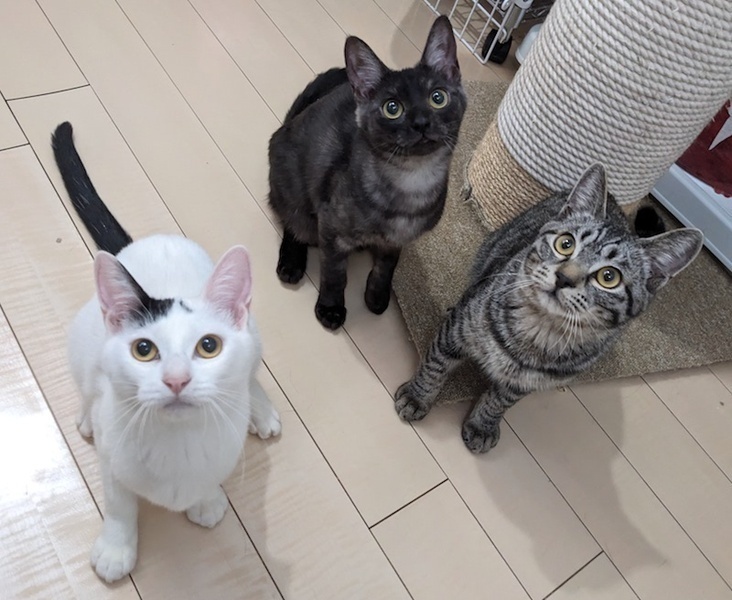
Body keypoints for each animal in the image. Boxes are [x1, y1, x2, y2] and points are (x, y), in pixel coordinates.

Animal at [52, 122, 281, 582]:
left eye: (209, 346)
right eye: (144, 349)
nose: (177, 380)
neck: (179, 443)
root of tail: (147, 242)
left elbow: (211, 476)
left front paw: (206, 500)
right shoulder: (112, 458)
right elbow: (118, 503)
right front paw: (116, 548)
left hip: (254, 331)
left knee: (250, 374)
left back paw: (261, 410)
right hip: (81, 337)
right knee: (87, 386)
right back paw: (85, 416)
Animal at [268, 15, 467, 330]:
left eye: (438, 98)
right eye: (392, 108)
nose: (421, 122)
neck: (413, 181)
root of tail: (290, 121)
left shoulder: (397, 242)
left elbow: (387, 267)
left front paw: (376, 297)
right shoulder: (331, 227)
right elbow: (335, 273)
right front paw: (331, 309)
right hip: (297, 194)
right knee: (293, 222)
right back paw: (292, 262)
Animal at [395, 164, 704, 453]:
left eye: (609, 277)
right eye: (565, 243)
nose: (565, 277)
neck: (539, 328)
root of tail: (615, 200)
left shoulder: (525, 382)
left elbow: (498, 402)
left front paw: (482, 425)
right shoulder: (458, 330)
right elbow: (436, 364)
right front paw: (417, 396)